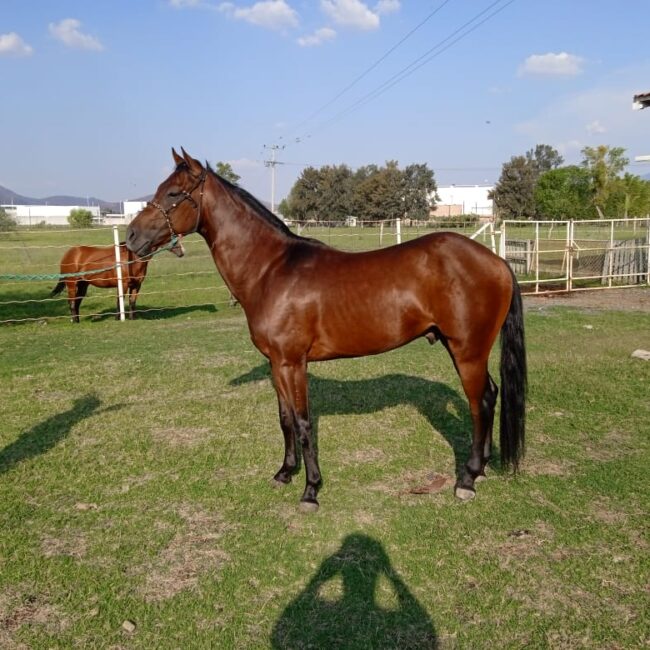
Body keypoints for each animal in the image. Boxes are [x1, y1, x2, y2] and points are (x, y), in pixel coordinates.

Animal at [126, 148, 527, 511]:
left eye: (173, 193)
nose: (130, 237)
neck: (271, 269)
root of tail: (497, 262)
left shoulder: (293, 363)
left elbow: (304, 423)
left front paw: (311, 491)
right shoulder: (277, 364)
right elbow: (285, 419)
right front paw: (284, 473)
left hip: (467, 350)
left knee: (480, 402)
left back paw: (467, 478)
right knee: (489, 396)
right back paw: (481, 470)